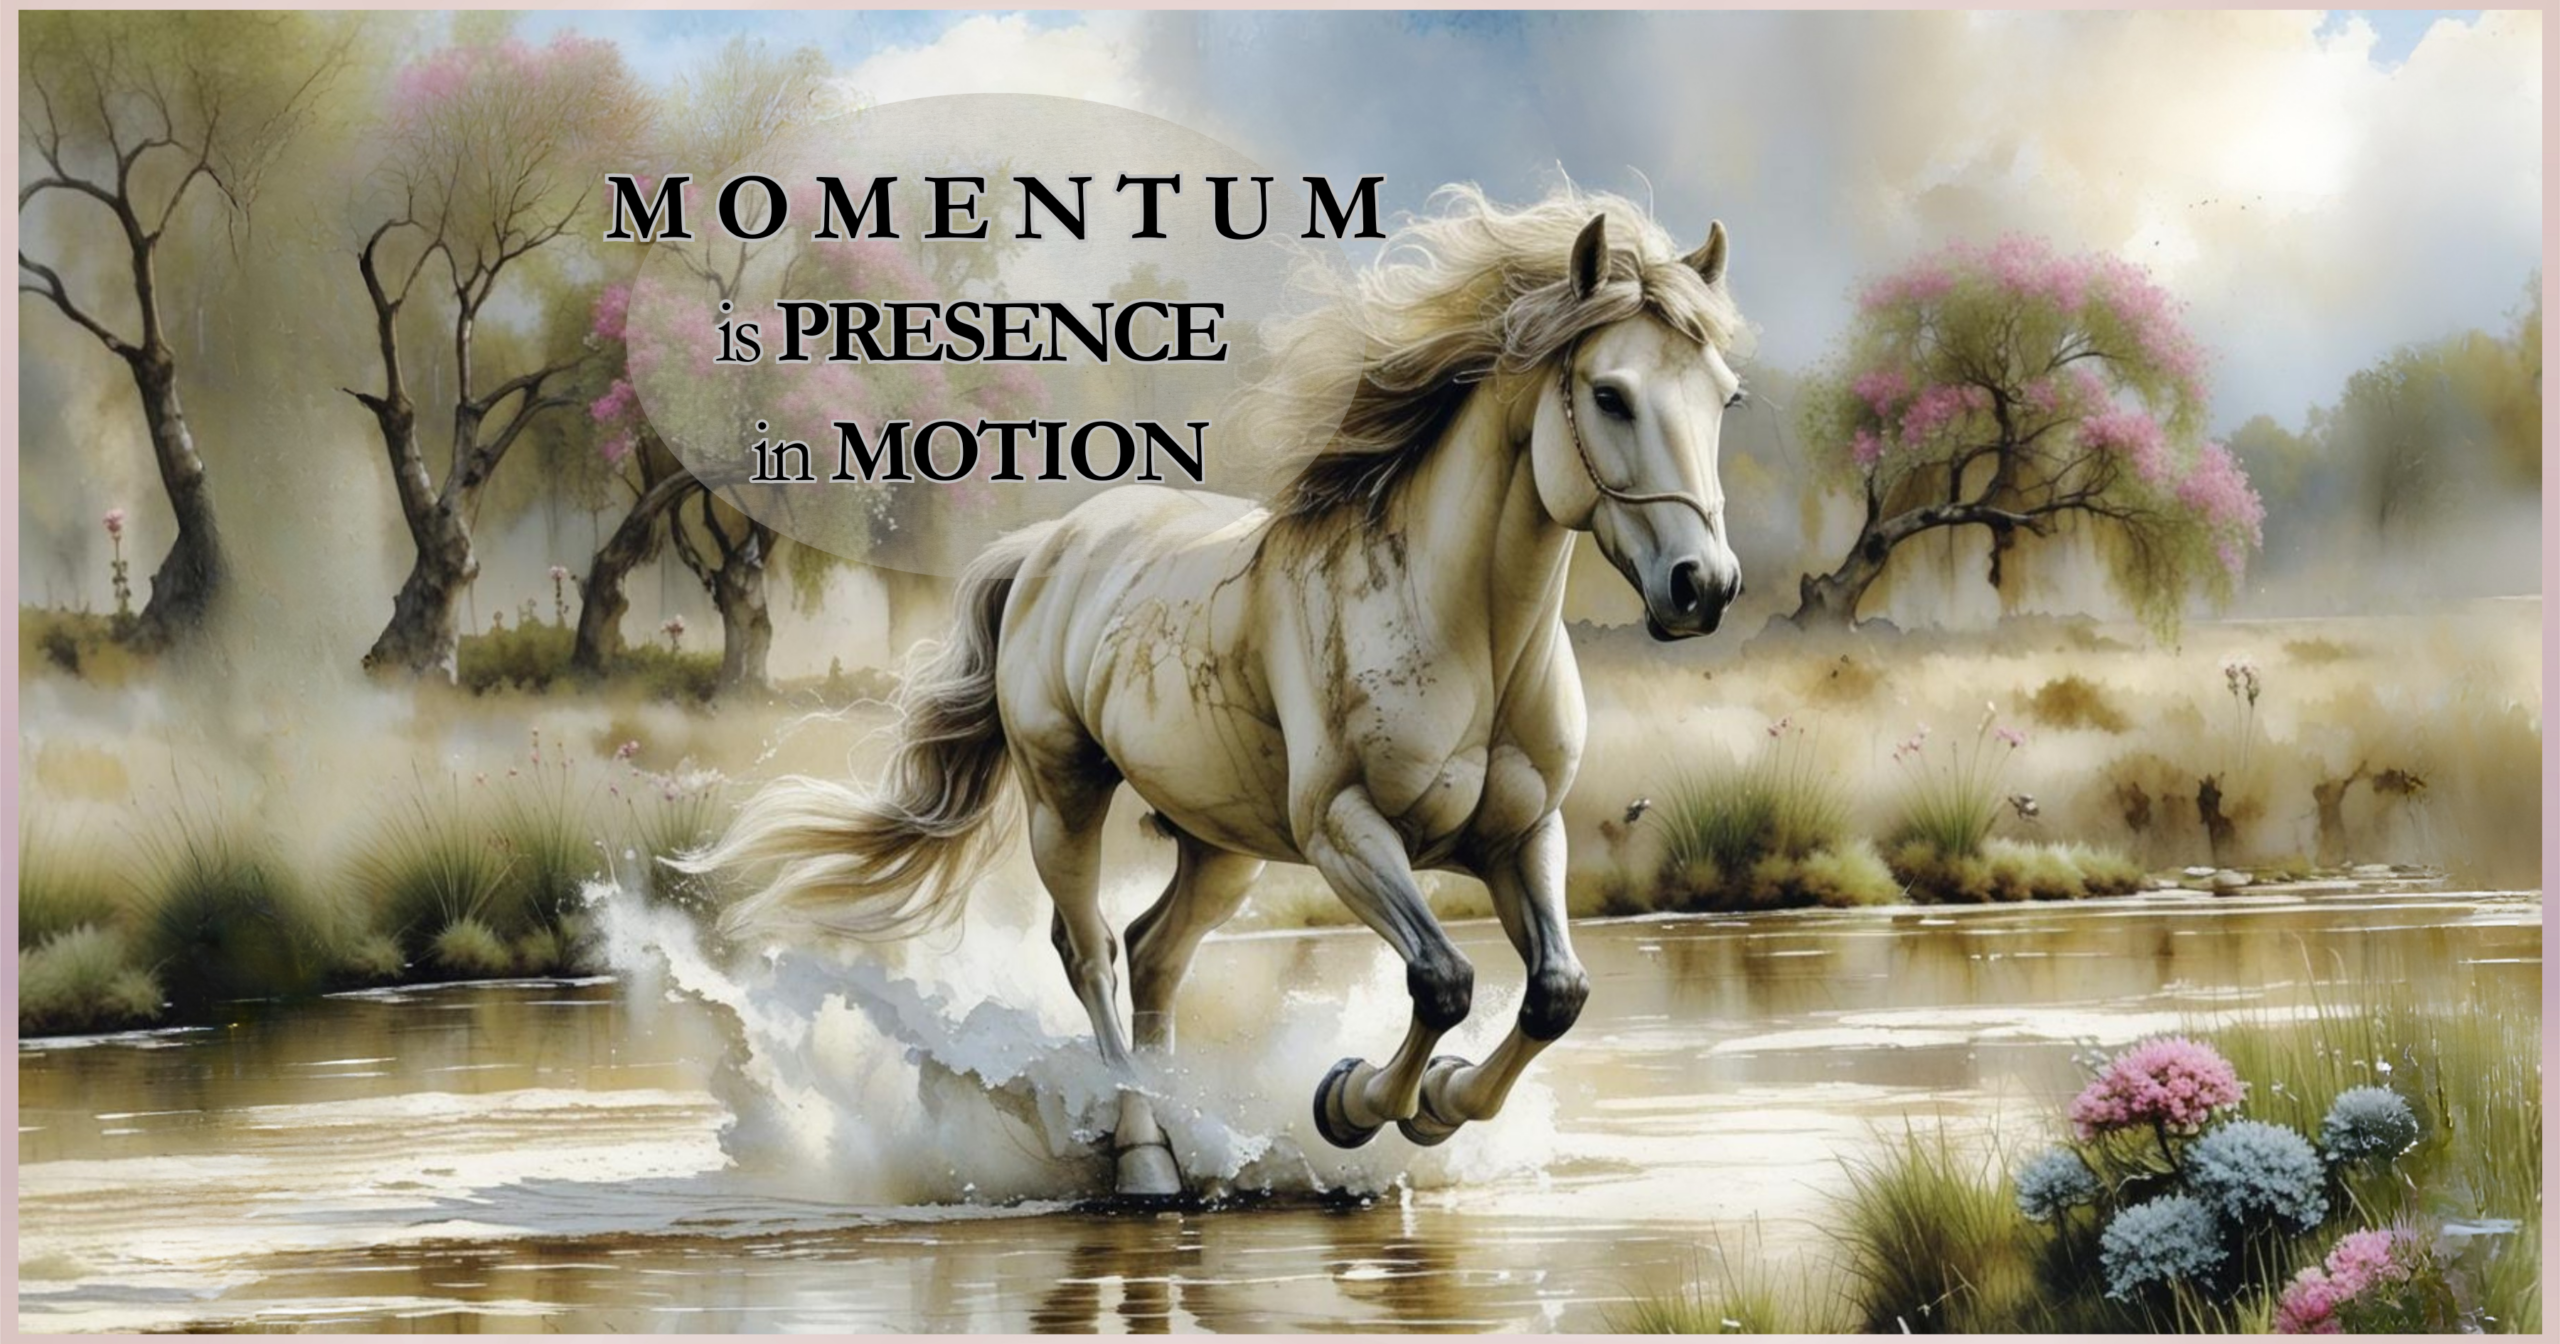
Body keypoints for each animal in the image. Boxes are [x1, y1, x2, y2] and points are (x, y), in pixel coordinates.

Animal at [679, 185, 1752, 1198]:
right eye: (1610, 395)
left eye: (1726, 398)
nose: (1703, 586)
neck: (1461, 630)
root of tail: (1047, 550)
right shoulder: (1346, 832)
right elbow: (1442, 978)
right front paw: (1352, 1103)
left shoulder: (1521, 836)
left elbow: (1556, 993)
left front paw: (1439, 1104)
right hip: (1063, 798)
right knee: (1092, 953)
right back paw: (1147, 1161)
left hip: (1221, 843)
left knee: (1156, 952)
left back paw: (1187, 1146)